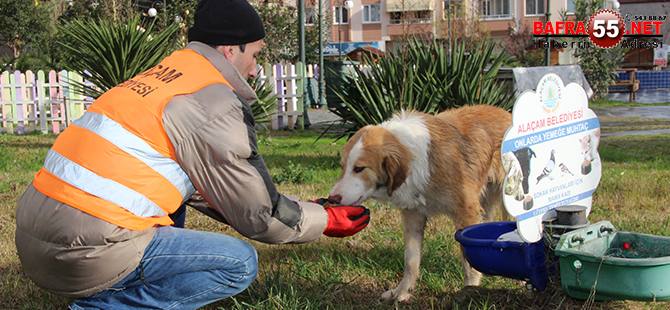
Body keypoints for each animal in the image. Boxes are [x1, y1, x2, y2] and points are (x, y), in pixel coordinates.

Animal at [330, 105, 516, 302]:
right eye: (342, 166)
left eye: (359, 168)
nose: (332, 198)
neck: (421, 163)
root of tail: (504, 111)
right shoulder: (413, 215)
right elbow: (411, 260)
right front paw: (402, 291)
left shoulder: (466, 213)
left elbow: (469, 262)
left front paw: (469, 291)